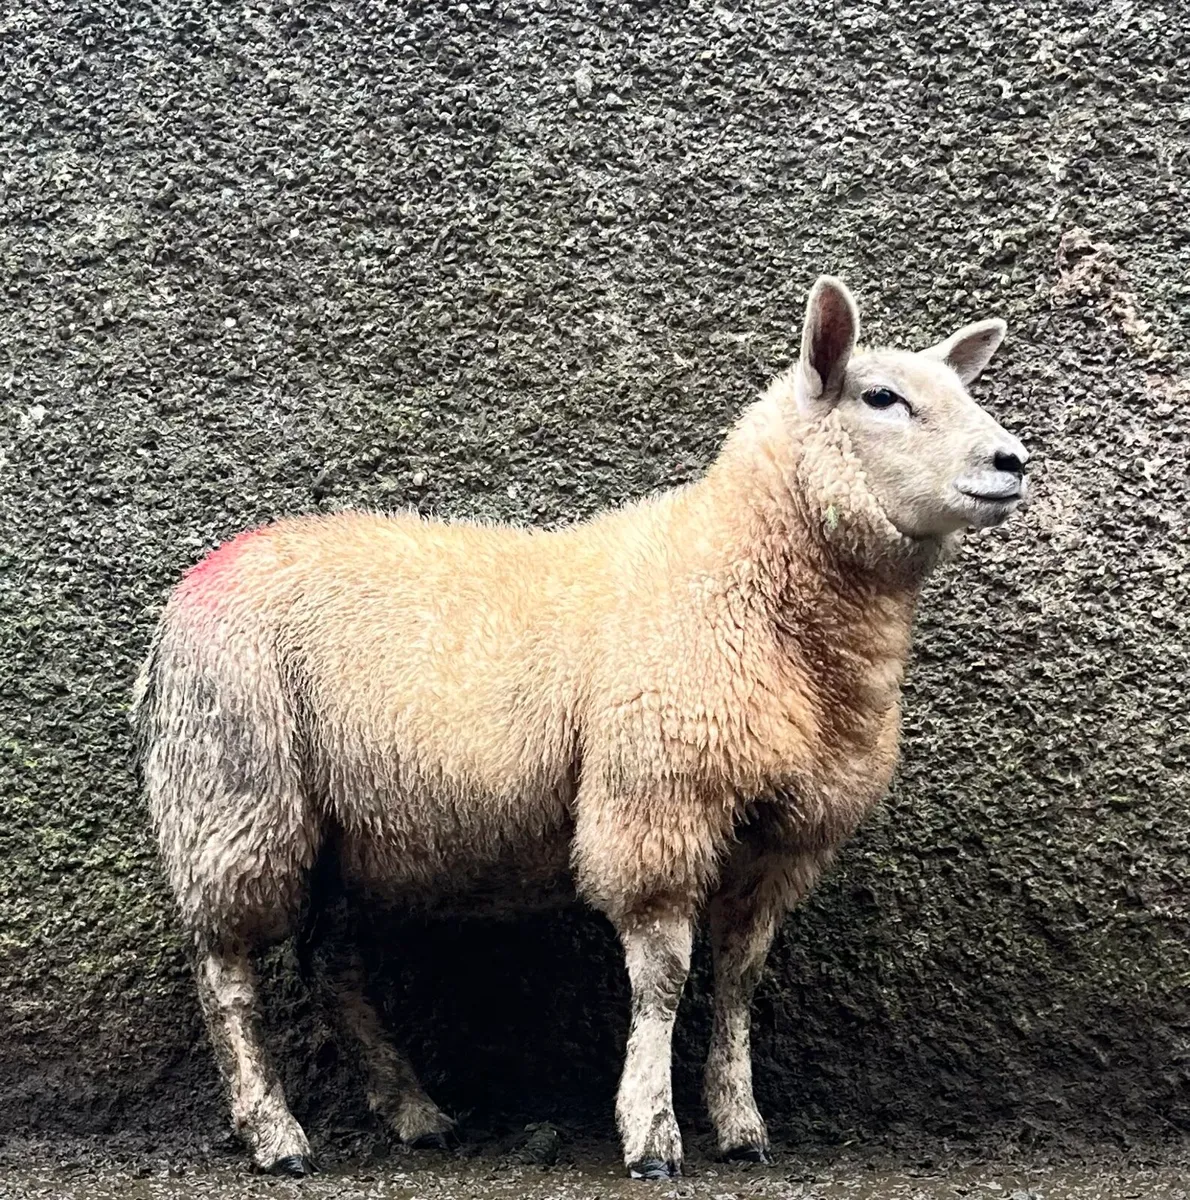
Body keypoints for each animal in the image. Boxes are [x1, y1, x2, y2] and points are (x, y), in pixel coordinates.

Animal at [133, 276, 1029, 1180]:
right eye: (881, 397)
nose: (1012, 462)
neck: (741, 580)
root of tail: (180, 606)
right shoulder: (657, 803)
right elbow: (664, 979)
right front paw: (652, 1133)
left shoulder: (784, 835)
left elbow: (740, 978)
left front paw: (740, 1122)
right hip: (234, 789)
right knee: (227, 973)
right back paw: (273, 1132)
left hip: (341, 829)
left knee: (332, 966)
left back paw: (412, 1112)